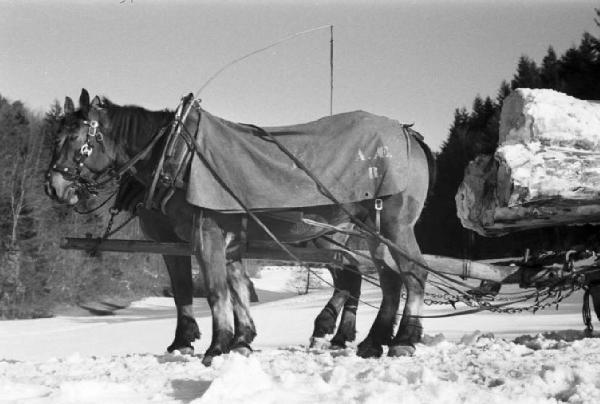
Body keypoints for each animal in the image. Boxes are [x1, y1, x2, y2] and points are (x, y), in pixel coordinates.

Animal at [44, 89, 434, 366]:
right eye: (55, 137)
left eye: (77, 139)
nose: (53, 187)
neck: (178, 156)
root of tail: (408, 134)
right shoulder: (227, 239)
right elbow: (237, 290)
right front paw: (241, 340)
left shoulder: (202, 234)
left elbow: (209, 290)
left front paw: (210, 346)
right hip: (370, 230)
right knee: (387, 278)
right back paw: (371, 339)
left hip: (390, 224)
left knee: (410, 273)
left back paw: (402, 339)